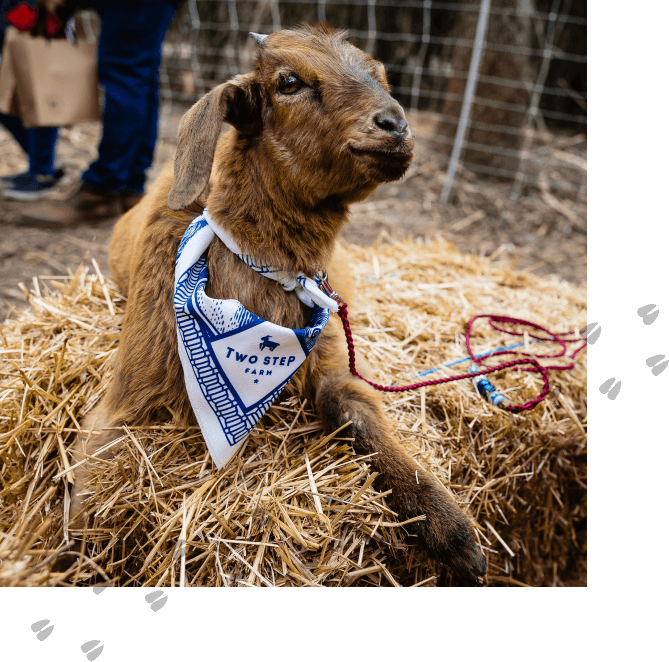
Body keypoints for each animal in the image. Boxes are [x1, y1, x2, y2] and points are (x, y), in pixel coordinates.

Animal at [67, 23, 487, 583]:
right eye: (289, 82)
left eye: (379, 74)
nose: (396, 126)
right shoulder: (120, 403)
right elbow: (82, 504)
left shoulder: (334, 367)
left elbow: (364, 420)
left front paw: (455, 534)